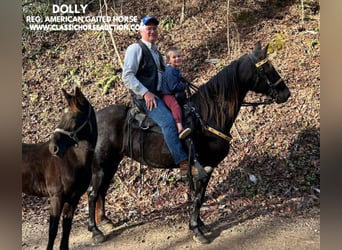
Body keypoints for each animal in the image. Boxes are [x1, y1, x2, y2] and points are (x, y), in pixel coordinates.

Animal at [21, 87, 97, 249]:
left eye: (74, 117)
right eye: (62, 115)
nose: (53, 148)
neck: (73, 160)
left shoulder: (73, 198)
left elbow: (66, 227)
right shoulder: (56, 197)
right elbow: (53, 230)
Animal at [87, 42, 290, 244]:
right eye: (266, 67)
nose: (286, 93)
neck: (207, 116)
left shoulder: (206, 168)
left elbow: (200, 196)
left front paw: (200, 224)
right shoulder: (205, 166)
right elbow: (199, 198)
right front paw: (196, 229)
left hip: (111, 163)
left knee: (102, 190)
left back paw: (105, 220)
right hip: (101, 165)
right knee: (92, 193)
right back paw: (95, 231)